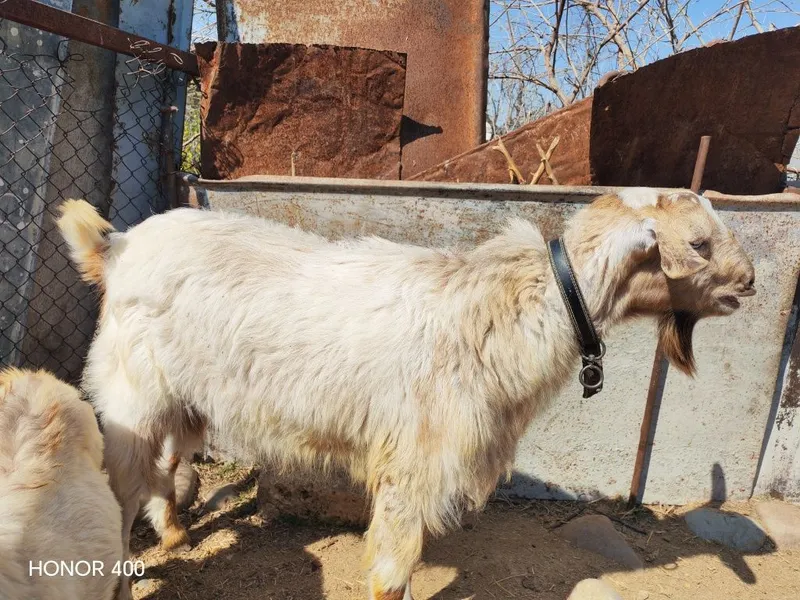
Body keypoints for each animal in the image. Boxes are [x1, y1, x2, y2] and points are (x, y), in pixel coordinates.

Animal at [57, 188, 755, 600]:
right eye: (697, 244)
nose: (749, 284)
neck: (504, 310)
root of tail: (116, 246)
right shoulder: (415, 460)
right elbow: (393, 572)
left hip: (181, 399)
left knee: (168, 465)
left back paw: (176, 533)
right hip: (130, 394)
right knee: (123, 484)